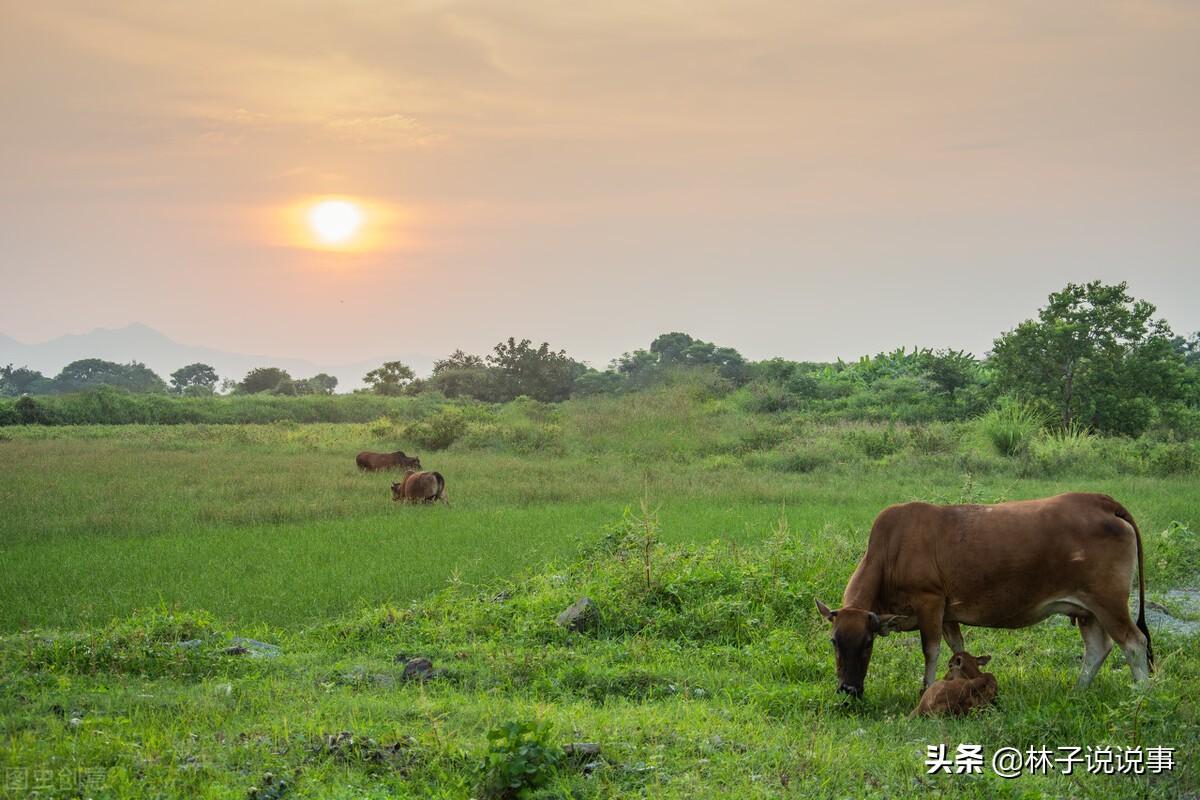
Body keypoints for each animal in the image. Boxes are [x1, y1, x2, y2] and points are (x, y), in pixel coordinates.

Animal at [816, 491, 1152, 695]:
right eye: (833, 641)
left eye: (867, 643)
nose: (847, 690)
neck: (890, 551)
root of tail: (1101, 501)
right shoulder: (948, 614)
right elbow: (957, 648)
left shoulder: (930, 603)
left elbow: (931, 650)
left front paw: (926, 689)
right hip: (1087, 610)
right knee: (1098, 648)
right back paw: (1078, 691)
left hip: (1109, 603)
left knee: (1134, 643)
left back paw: (1142, 694)